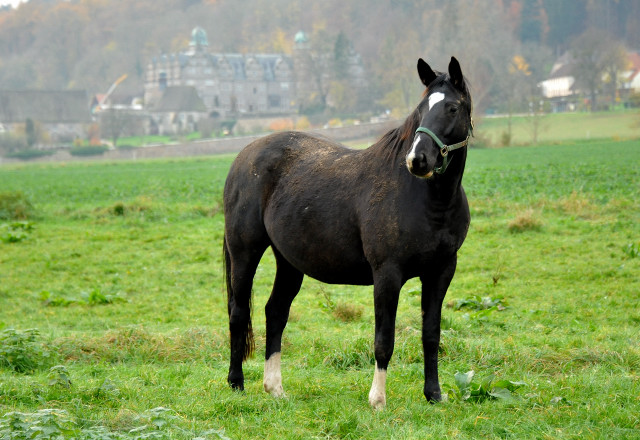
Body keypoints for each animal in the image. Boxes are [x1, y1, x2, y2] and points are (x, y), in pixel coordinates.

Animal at [224, 56, 470, 408]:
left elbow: (431, 334)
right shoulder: (387, 274)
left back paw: (275, 388)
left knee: (276, 312)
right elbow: (384, 340)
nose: (417, 159)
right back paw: (236, 382)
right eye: (421, 109)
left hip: (289, 262)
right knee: (239, 312)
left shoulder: (441, 271)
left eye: (452, 108)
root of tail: (245, 155)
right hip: (244, 252)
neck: (428, 200)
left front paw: (434, 394)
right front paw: (378, 400)